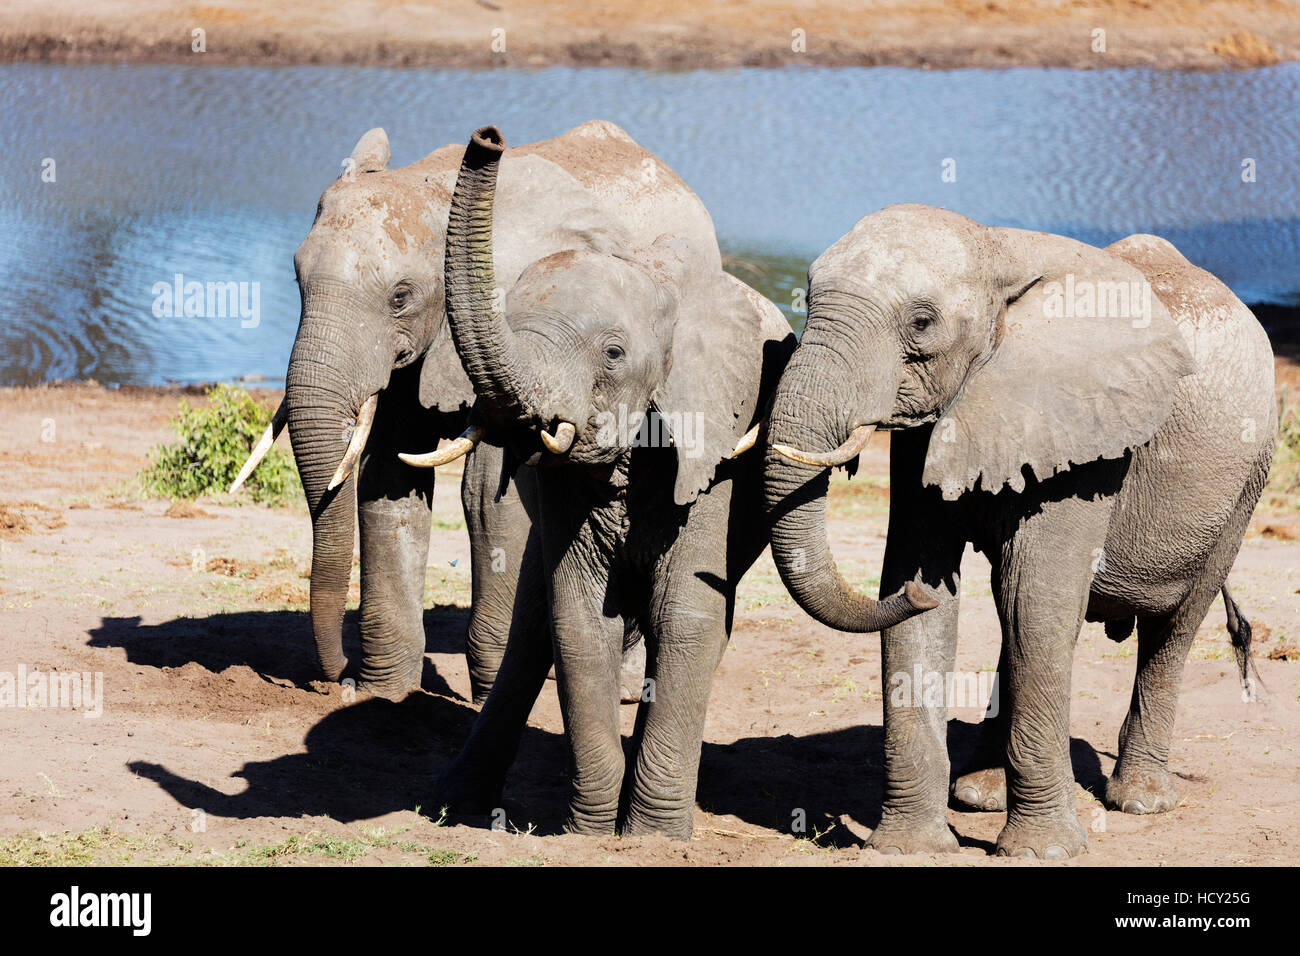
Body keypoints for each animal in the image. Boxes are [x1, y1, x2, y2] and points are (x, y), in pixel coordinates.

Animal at [233, 119, 722, 702]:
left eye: (400, 297)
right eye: (296, 280)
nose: (333, 677)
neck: (429, 189)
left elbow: (489, 495)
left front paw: (485, 691)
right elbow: (388, 479)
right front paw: (385, 695)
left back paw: (623, 688)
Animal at [410, 127, 800, 837]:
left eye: (613, 354)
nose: (489, 138)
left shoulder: (716, 446)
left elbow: (687, 615)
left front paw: (653, 836)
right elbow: (580, 619)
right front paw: (588, 831)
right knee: (534, 630)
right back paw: (451, 805)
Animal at [764, 204, 1274, 858]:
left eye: (922, 323)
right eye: (806, 296)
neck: (999, 252)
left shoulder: (1088, 438)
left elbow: (1036, 597)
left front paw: (1043, 853)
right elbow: (922, 583)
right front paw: (909, 850)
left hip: (1245, 479)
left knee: (1174, 625)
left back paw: (1140, 801)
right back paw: (979, 794)